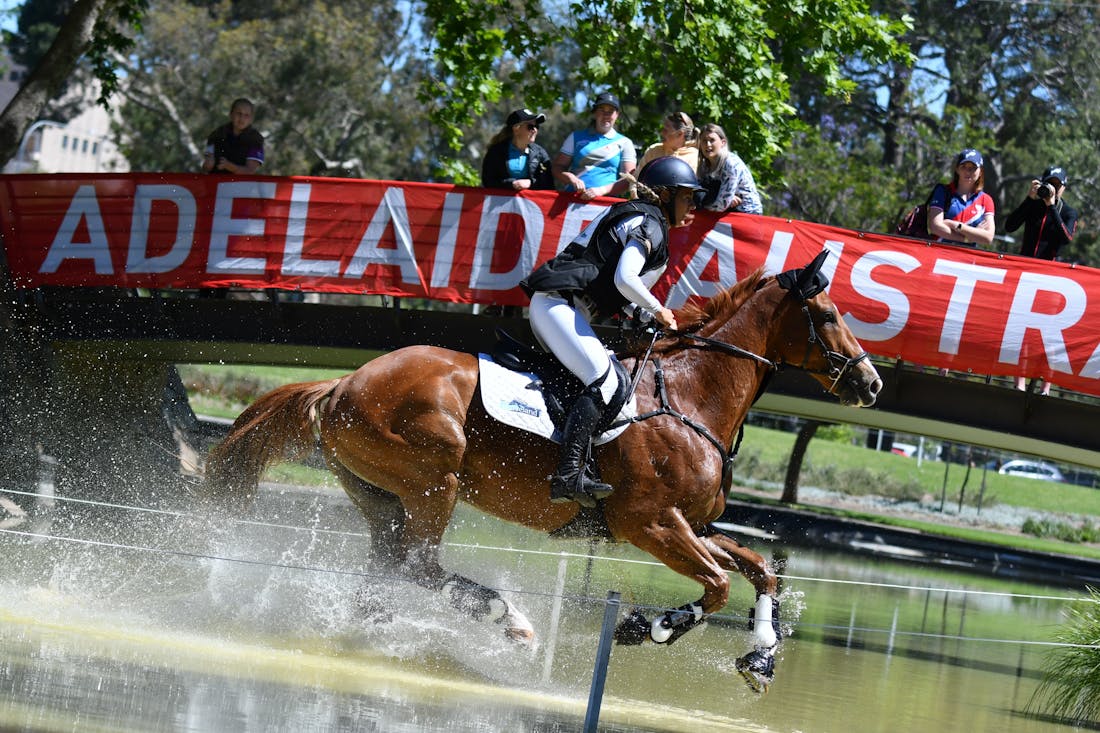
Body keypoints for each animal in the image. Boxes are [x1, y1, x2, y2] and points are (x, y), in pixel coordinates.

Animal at [202, 250, 880, 691]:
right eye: (828, 316)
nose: (871, 384)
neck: (691, 398)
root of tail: (344, 383)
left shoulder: (691, 524)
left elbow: (761, 568)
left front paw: (760, 659)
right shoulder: (651, 524)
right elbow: (716, 585)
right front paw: (649, 626)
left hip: (382, 497)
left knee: (390, 570)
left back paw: (380, 637)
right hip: (435, 481)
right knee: (419, 565)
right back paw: (509, 621)